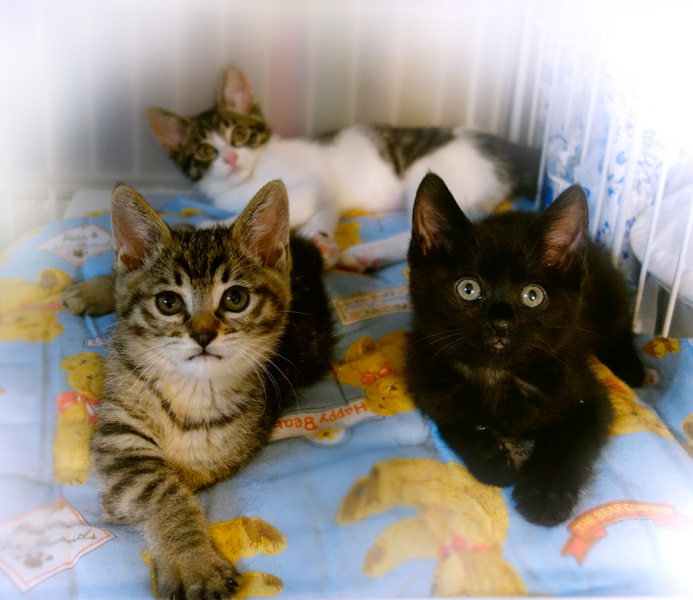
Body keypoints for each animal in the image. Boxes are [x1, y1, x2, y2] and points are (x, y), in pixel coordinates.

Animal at [66, 181, 334, 598]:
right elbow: (160, 487)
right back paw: (91, 291)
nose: (204, 335)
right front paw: (193, 564)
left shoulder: (227, 446)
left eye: (235, 298)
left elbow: (179, 477)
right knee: (123, 273)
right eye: (167, 302)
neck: (191, 390)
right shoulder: (120, 431)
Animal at [146, 63, 540, 270]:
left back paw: (367, 253)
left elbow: (294, 204)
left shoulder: (310, 182)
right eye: (203, 152)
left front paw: (215, 223)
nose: (229, 158)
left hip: (432, 174)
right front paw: (322, 241)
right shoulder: (328, 192)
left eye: (239, 134)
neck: (247, 177)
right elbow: (323, 211)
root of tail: (512, 148)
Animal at [405, 173, 645, 527]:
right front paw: (492, 459)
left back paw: (632, 368)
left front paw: (543, 495)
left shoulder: (587, 395)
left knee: (620, 329)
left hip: (611, 298)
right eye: (468, 289)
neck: (496, 373)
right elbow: (456, 423)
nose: (500, 323)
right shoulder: (430, 383)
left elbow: (567, 441)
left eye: (533, 295)